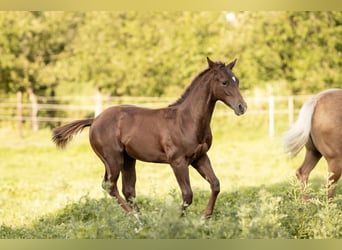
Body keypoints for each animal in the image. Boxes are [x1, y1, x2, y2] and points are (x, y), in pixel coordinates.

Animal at [52, 57, 247, 217]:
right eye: (224, 82)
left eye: (236, 80)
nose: (242, 107)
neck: (187, 120)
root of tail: (94, 120)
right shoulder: (178, 162)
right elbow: (187, 195)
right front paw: (177, 222)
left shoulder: (200, 157)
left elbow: (215, 184)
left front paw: (205, 217)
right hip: (113, 159)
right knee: (110, 186)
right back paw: (134, 218)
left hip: (128, 159)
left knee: (128, 190)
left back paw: (142, 219)